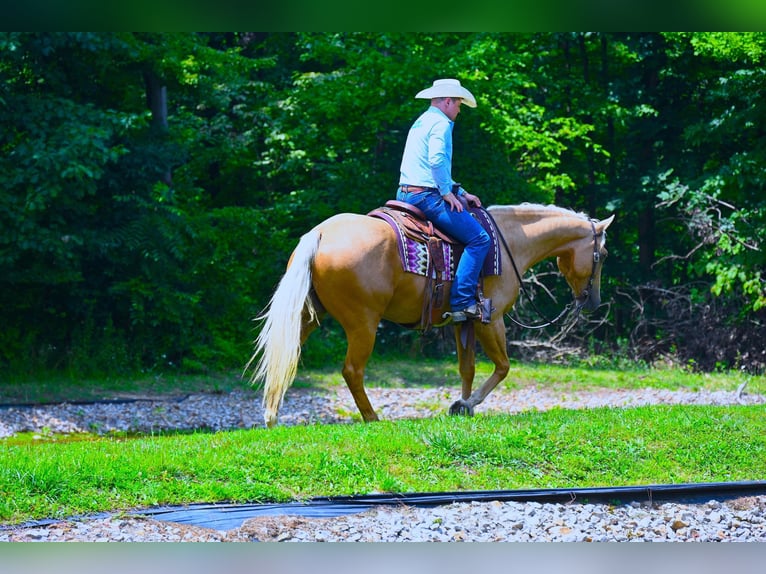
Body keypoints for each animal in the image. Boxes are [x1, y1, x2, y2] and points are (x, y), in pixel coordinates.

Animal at [249, 204, 616, 428]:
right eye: (603, 253)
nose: (594, 301)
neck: (509, 243)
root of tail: (322, 233)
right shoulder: (491, 319)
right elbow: (503, 367)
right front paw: (468, 404)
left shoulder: (463, 321)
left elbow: (467, 368)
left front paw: (462, 405)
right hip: (363, 322)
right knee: (352, 370)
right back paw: (372, 419)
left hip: (307, 318)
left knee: (283, 359)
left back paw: (270, 417)